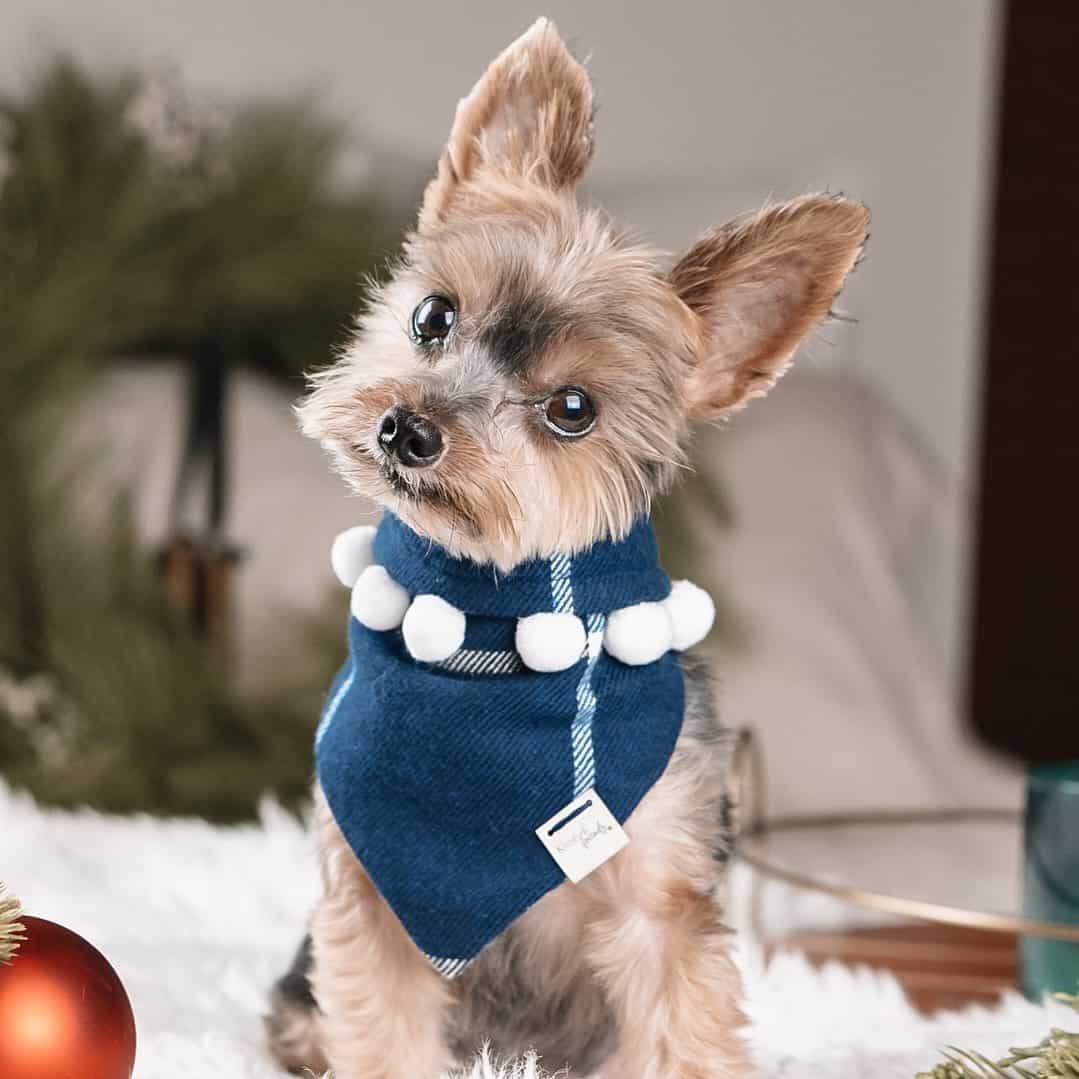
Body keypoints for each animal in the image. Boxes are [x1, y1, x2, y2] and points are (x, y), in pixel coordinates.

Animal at [267, 19, 867, 1079]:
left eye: (573, 409)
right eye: (432, 316)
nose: (406, 430)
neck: (488, 633)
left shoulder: (660, 894)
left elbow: (678, 1029)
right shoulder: (372, 889)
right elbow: (381, 1028)